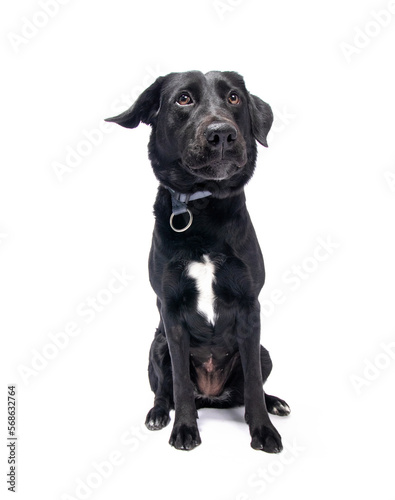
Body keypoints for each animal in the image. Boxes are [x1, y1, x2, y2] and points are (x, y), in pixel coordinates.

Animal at [105, 71, 290, 454]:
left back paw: (274, 402)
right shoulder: (171, 310)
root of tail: (213, 396)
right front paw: (185, 430)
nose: (222, 133)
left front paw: (263, 431)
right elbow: (179, 384)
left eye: (234, 98)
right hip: (157, 344)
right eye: (183, 99)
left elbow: (253, 383)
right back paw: (158, 414)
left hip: (265, 350)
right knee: (165, 389)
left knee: (249, 387)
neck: (203, 209)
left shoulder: (250, 305)